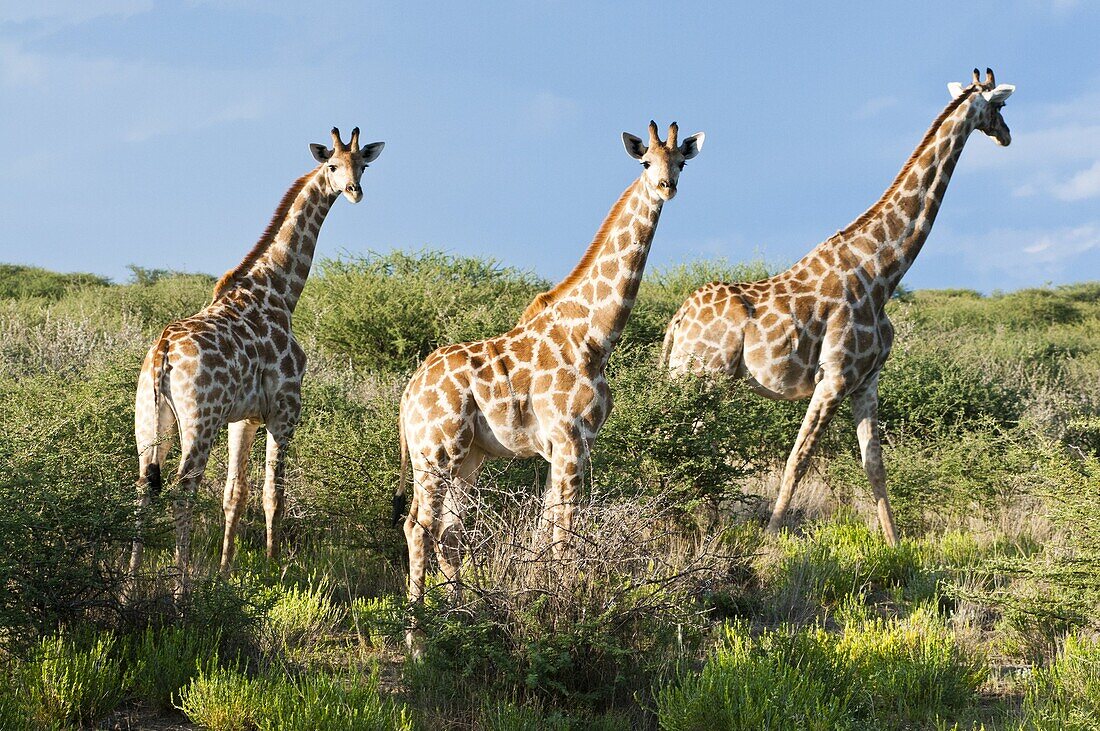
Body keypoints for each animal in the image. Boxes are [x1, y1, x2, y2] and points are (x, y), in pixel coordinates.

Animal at [128, 128, 385, 589]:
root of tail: (162, 352)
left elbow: (235, 494)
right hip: (200, 420)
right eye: (332, 166)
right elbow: (273, 494)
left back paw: (128, 586)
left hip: (151, 420)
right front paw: (271, 570)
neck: (281, 291)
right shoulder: (285, 410)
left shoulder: (243, 418)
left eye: (363, 165)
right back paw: (181, 586)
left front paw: (227, 570)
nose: (355, 192)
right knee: (181, 490)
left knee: (144, 486)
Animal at [396, 124, 704, 619]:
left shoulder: (571, 442)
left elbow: (547, 527)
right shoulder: (569, 437)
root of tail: (407, 394)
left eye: (682, 163)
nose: (666, 187)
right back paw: (417, 630)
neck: (594, 337)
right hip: (436, 451)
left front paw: (538, 597)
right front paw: (562, 604)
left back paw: (459, 617)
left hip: (469, 457)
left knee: (449, 535)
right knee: (418, 527)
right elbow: (564, 531)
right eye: (645, 162)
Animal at [660, 69, 1012, 547]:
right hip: (701, 377)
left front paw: (894, 544)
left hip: (700, 379)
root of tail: (678, 320)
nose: (1007, 136)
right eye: (1002, 106)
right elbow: (798, 458)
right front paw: (770, 542)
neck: (883, 271)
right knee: (680, 439)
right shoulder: (834, 377)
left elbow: (874, 464)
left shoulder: (867, 380)